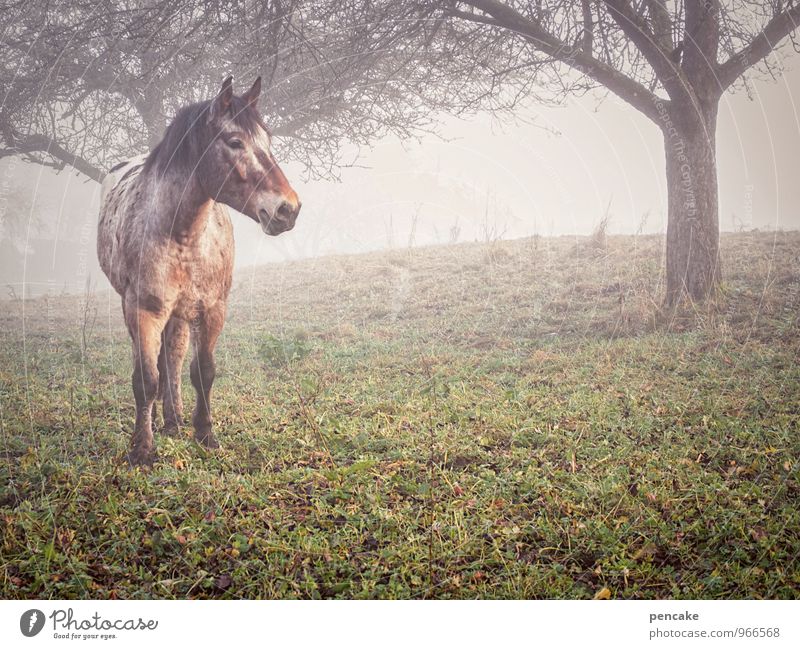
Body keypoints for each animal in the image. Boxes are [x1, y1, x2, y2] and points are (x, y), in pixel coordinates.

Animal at [99, 77, 300, 466]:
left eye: (267, 141)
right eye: (235, 142)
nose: (288, 209)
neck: (182, 235)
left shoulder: (212, 309)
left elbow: (202, 371)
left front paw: (205, 434)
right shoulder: (143, 310)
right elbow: (145, 379)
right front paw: (141, 449)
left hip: (180, 313)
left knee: (174, 358)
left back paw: (174, 419)